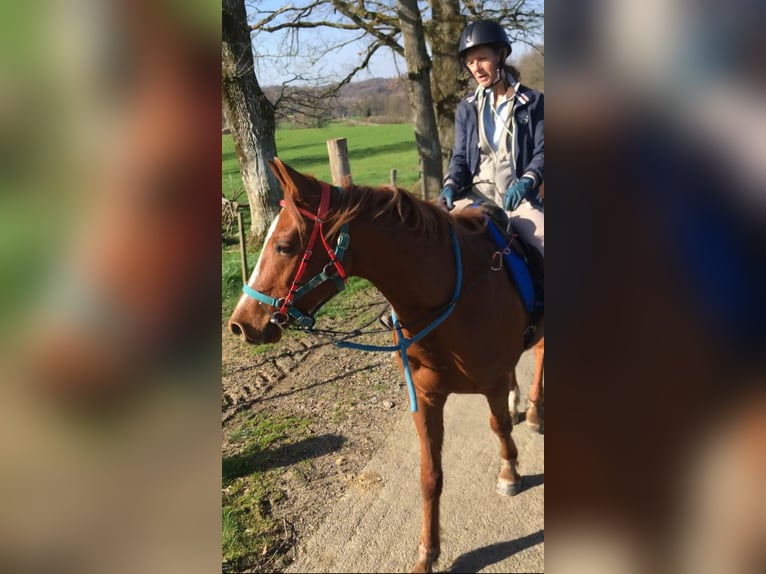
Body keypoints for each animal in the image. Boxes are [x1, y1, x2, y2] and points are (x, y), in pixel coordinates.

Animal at [228, 158, 544, 573]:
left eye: (283, 246)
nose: (240, 323)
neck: (452, 298)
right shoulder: (425, 398)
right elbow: (430, 475)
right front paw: (427, 552)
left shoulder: (488, 385)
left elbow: (500, 428)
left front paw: (509, 471)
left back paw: (535, 412)